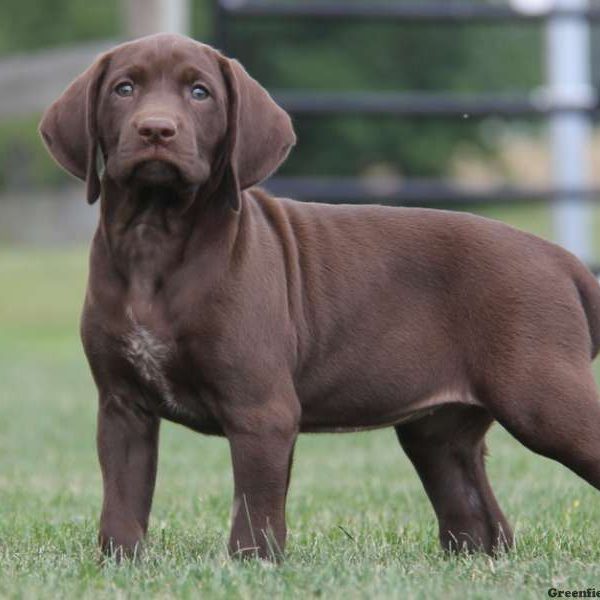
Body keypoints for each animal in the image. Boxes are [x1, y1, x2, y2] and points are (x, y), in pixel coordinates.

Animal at [39, 31, 600, 556]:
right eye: (123, 89)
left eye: (200, 92)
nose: (156, 129)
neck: (154, 239)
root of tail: (560, 258)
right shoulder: (122, 406)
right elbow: (122, 503)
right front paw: (122, 566)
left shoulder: (262, 409)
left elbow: (255, 512)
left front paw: (252, 568)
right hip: (439, 432)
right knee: (480, 522)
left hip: (541, 398)